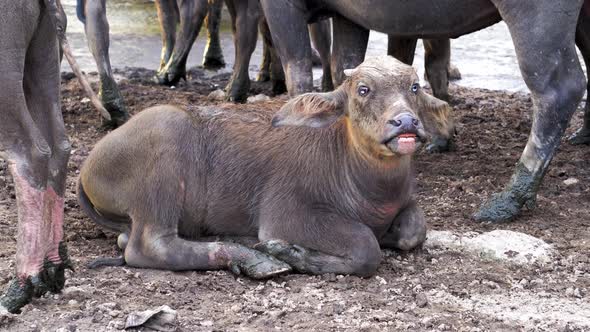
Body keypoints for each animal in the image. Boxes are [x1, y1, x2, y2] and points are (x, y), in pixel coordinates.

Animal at [78, 56, 456, 278]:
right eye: (363, 89)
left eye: (414, 87)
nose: (405, 122)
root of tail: (88, 168)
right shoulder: (285, 215)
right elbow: (366, 247)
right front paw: (290, 252)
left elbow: (414, 231)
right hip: (162, 162)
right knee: (147, 246)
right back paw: (254, 259)